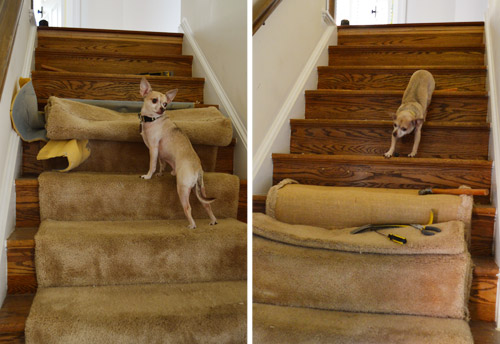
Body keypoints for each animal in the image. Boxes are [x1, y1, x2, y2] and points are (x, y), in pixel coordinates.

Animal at [138, 77, 216, 228]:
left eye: (165, 104)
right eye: (154, 100)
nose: (163, 108)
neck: (153, 120)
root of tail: (198, 169)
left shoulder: (153, 148)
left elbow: (152, 164)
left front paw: (148, 176)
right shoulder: (160, 153)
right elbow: (162, 163)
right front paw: (160, 173)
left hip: (182, 189)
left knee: (188, 208)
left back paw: (192, 225)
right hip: (199, 189)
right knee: (207, 204)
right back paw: (213, 220)